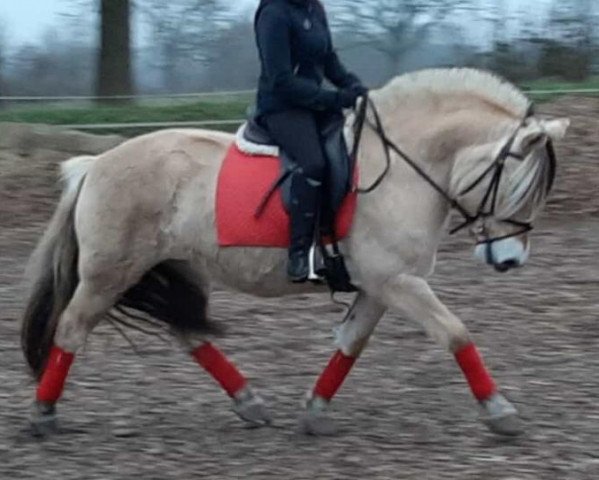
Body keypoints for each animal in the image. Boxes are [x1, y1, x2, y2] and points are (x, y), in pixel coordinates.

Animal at [19, 68, 572, 438]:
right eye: (519, 188)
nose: (510, 261)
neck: (402, 166)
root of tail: (95, 164)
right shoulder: (397, 281)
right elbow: (455, 333)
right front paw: (500, 412)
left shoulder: (382, 285)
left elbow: (350, 344)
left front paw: (315, 411)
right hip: (109, 273)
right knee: (72, 328)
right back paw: (44, 415)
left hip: (163, 266)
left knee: (188, 331)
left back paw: (249, 403)